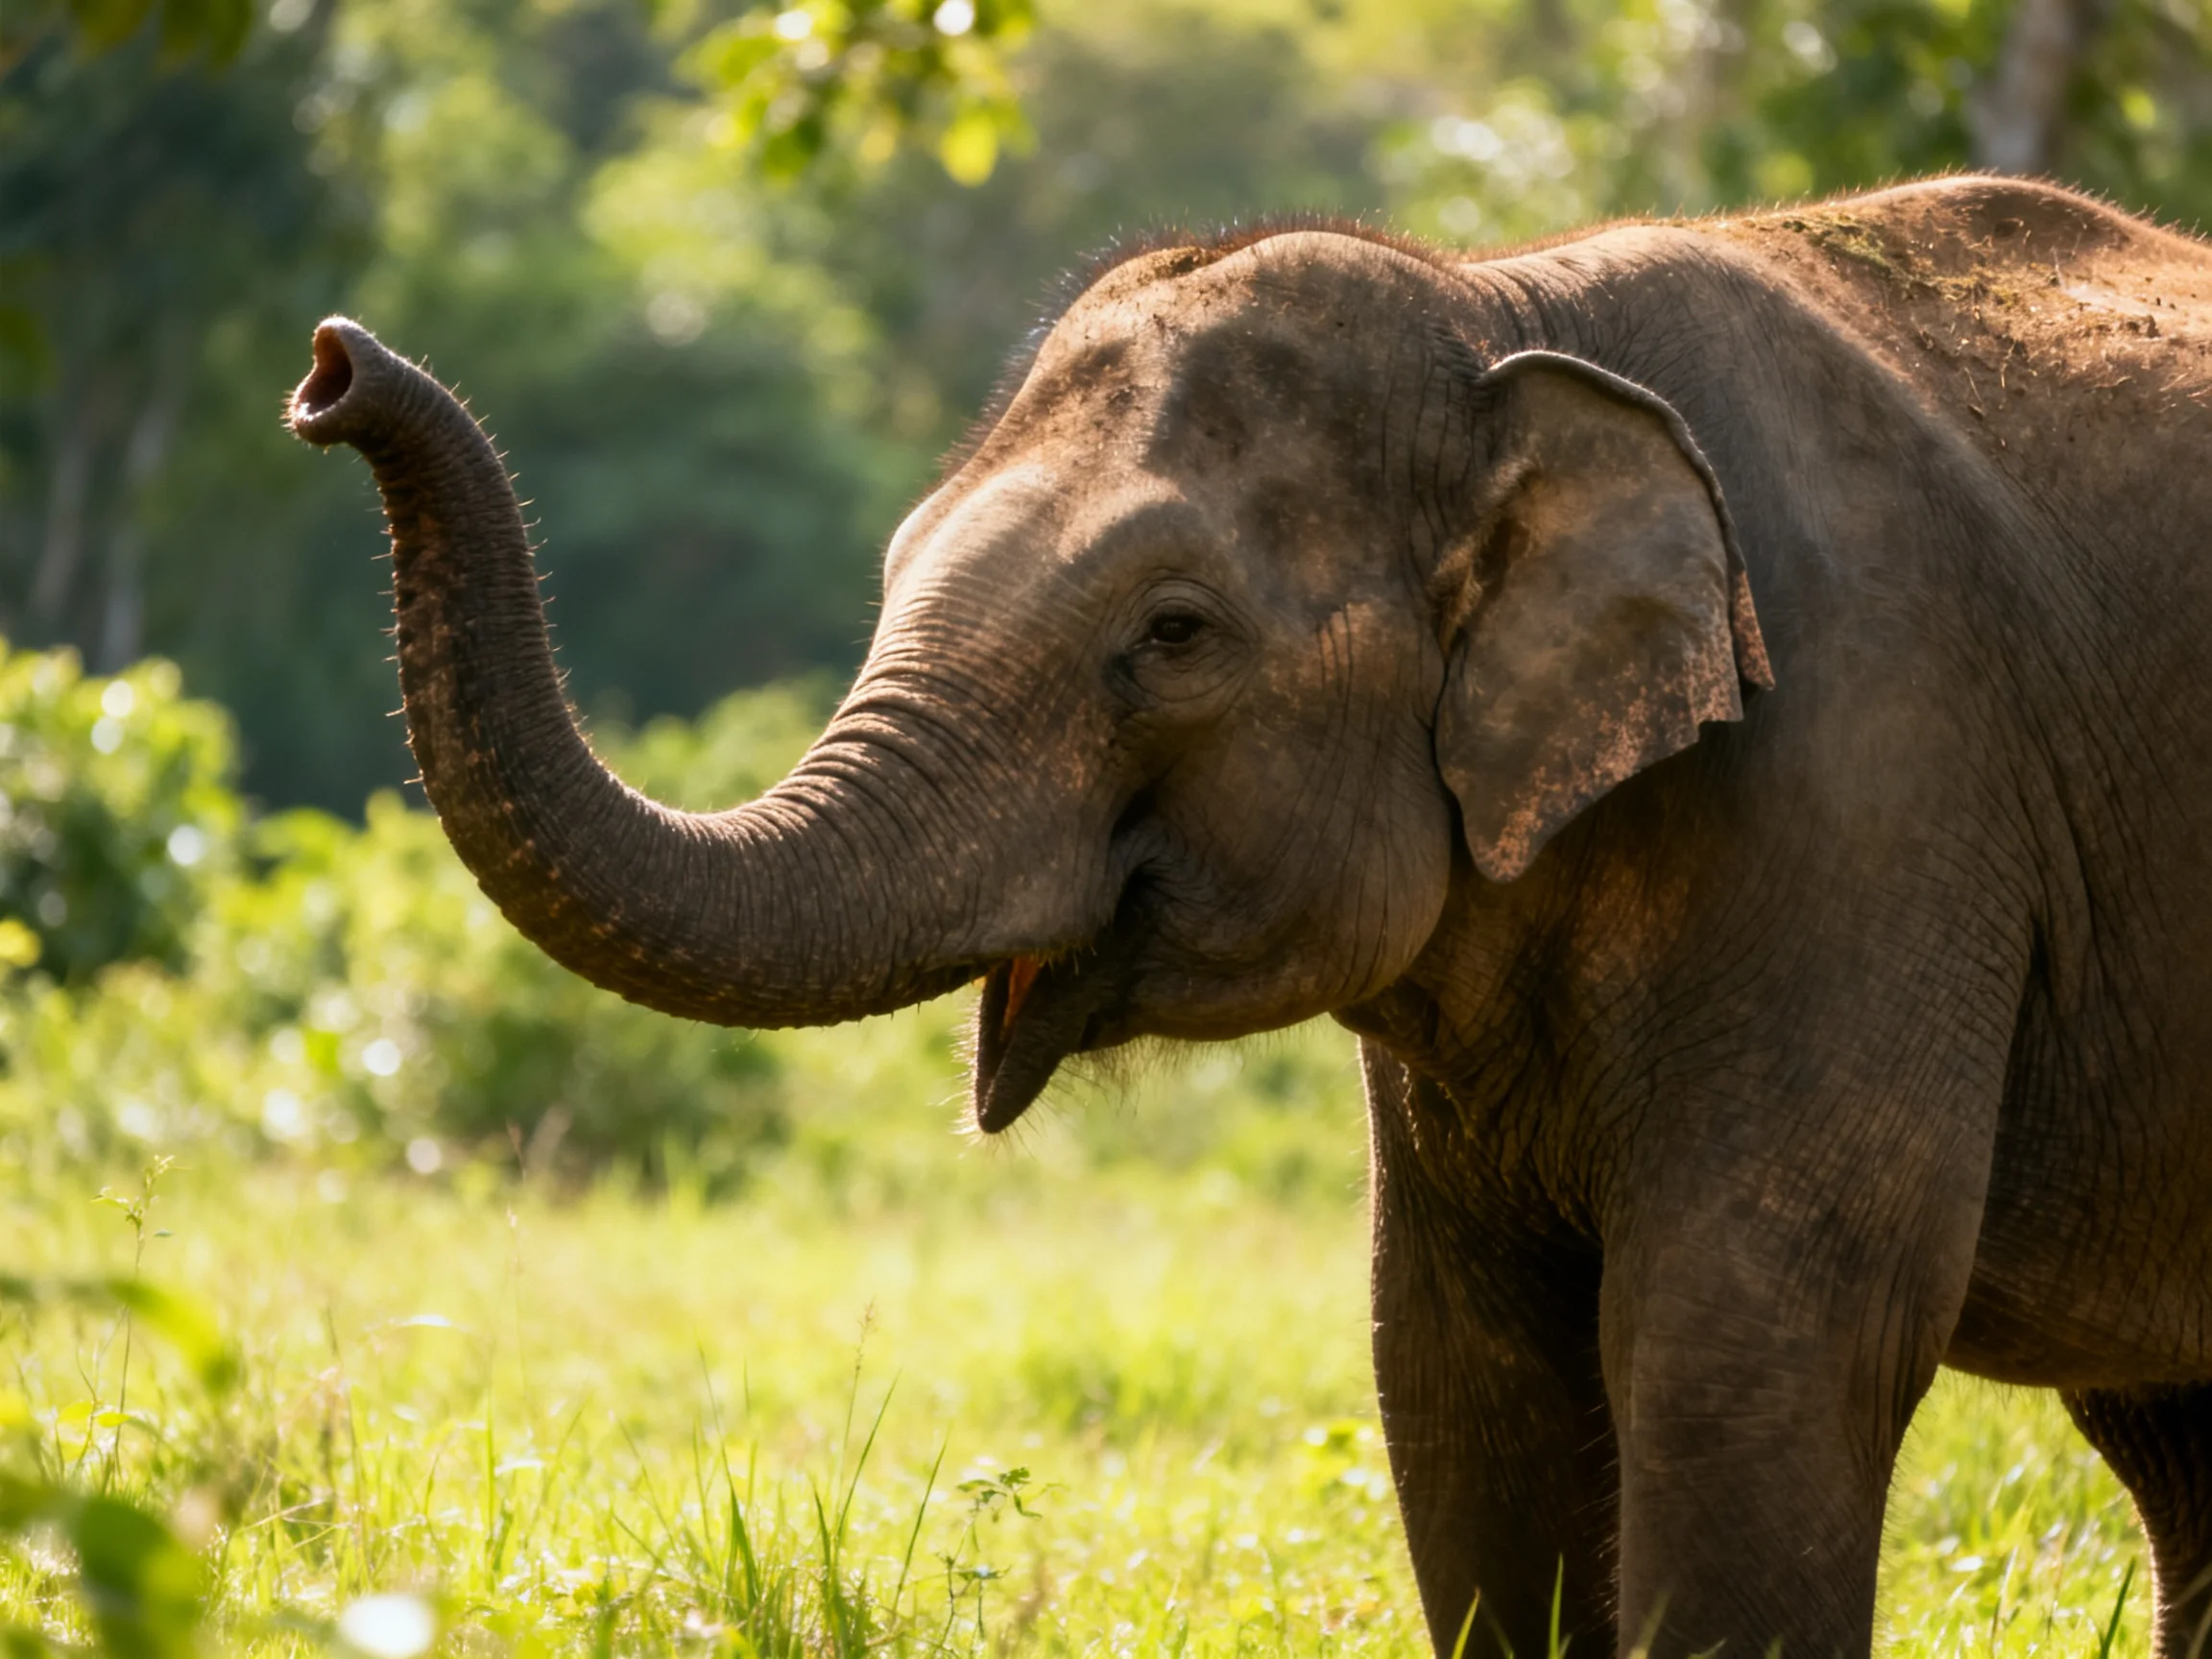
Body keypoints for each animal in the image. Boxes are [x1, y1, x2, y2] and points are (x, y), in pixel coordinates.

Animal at [289, 174, 2212, 1657]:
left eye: (1173, 633)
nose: (329, 366)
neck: (1500, 303)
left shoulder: (1875, 782)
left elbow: (1755, 1337)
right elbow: (1457, 1371)